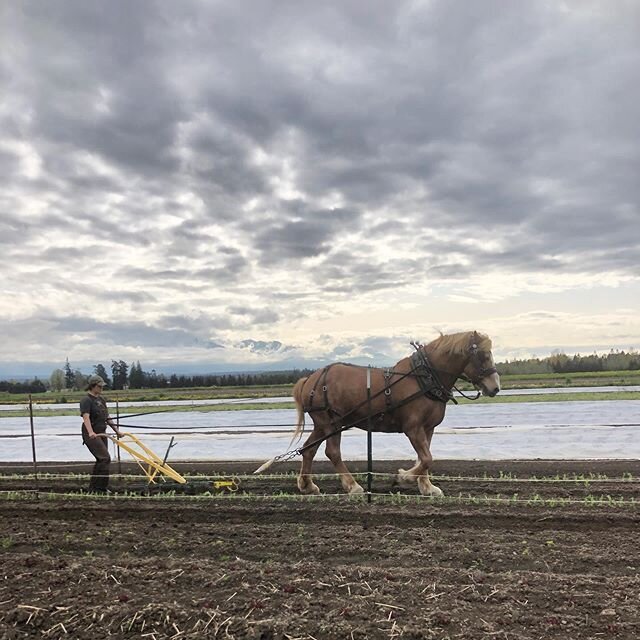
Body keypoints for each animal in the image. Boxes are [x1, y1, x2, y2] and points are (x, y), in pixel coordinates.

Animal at [262, 332, 498, 498]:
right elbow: (426, 458)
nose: (495, 388)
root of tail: (310, 379)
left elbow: (425, 458)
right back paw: (353, 486)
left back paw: (307, 485)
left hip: (322, 424)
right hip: (331, 423)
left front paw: (427, 487)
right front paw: (403, 477)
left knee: (308, 450)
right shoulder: (412, 428)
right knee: (332, 452)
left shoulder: (428, 428)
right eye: (483, 355)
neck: (424, 377)